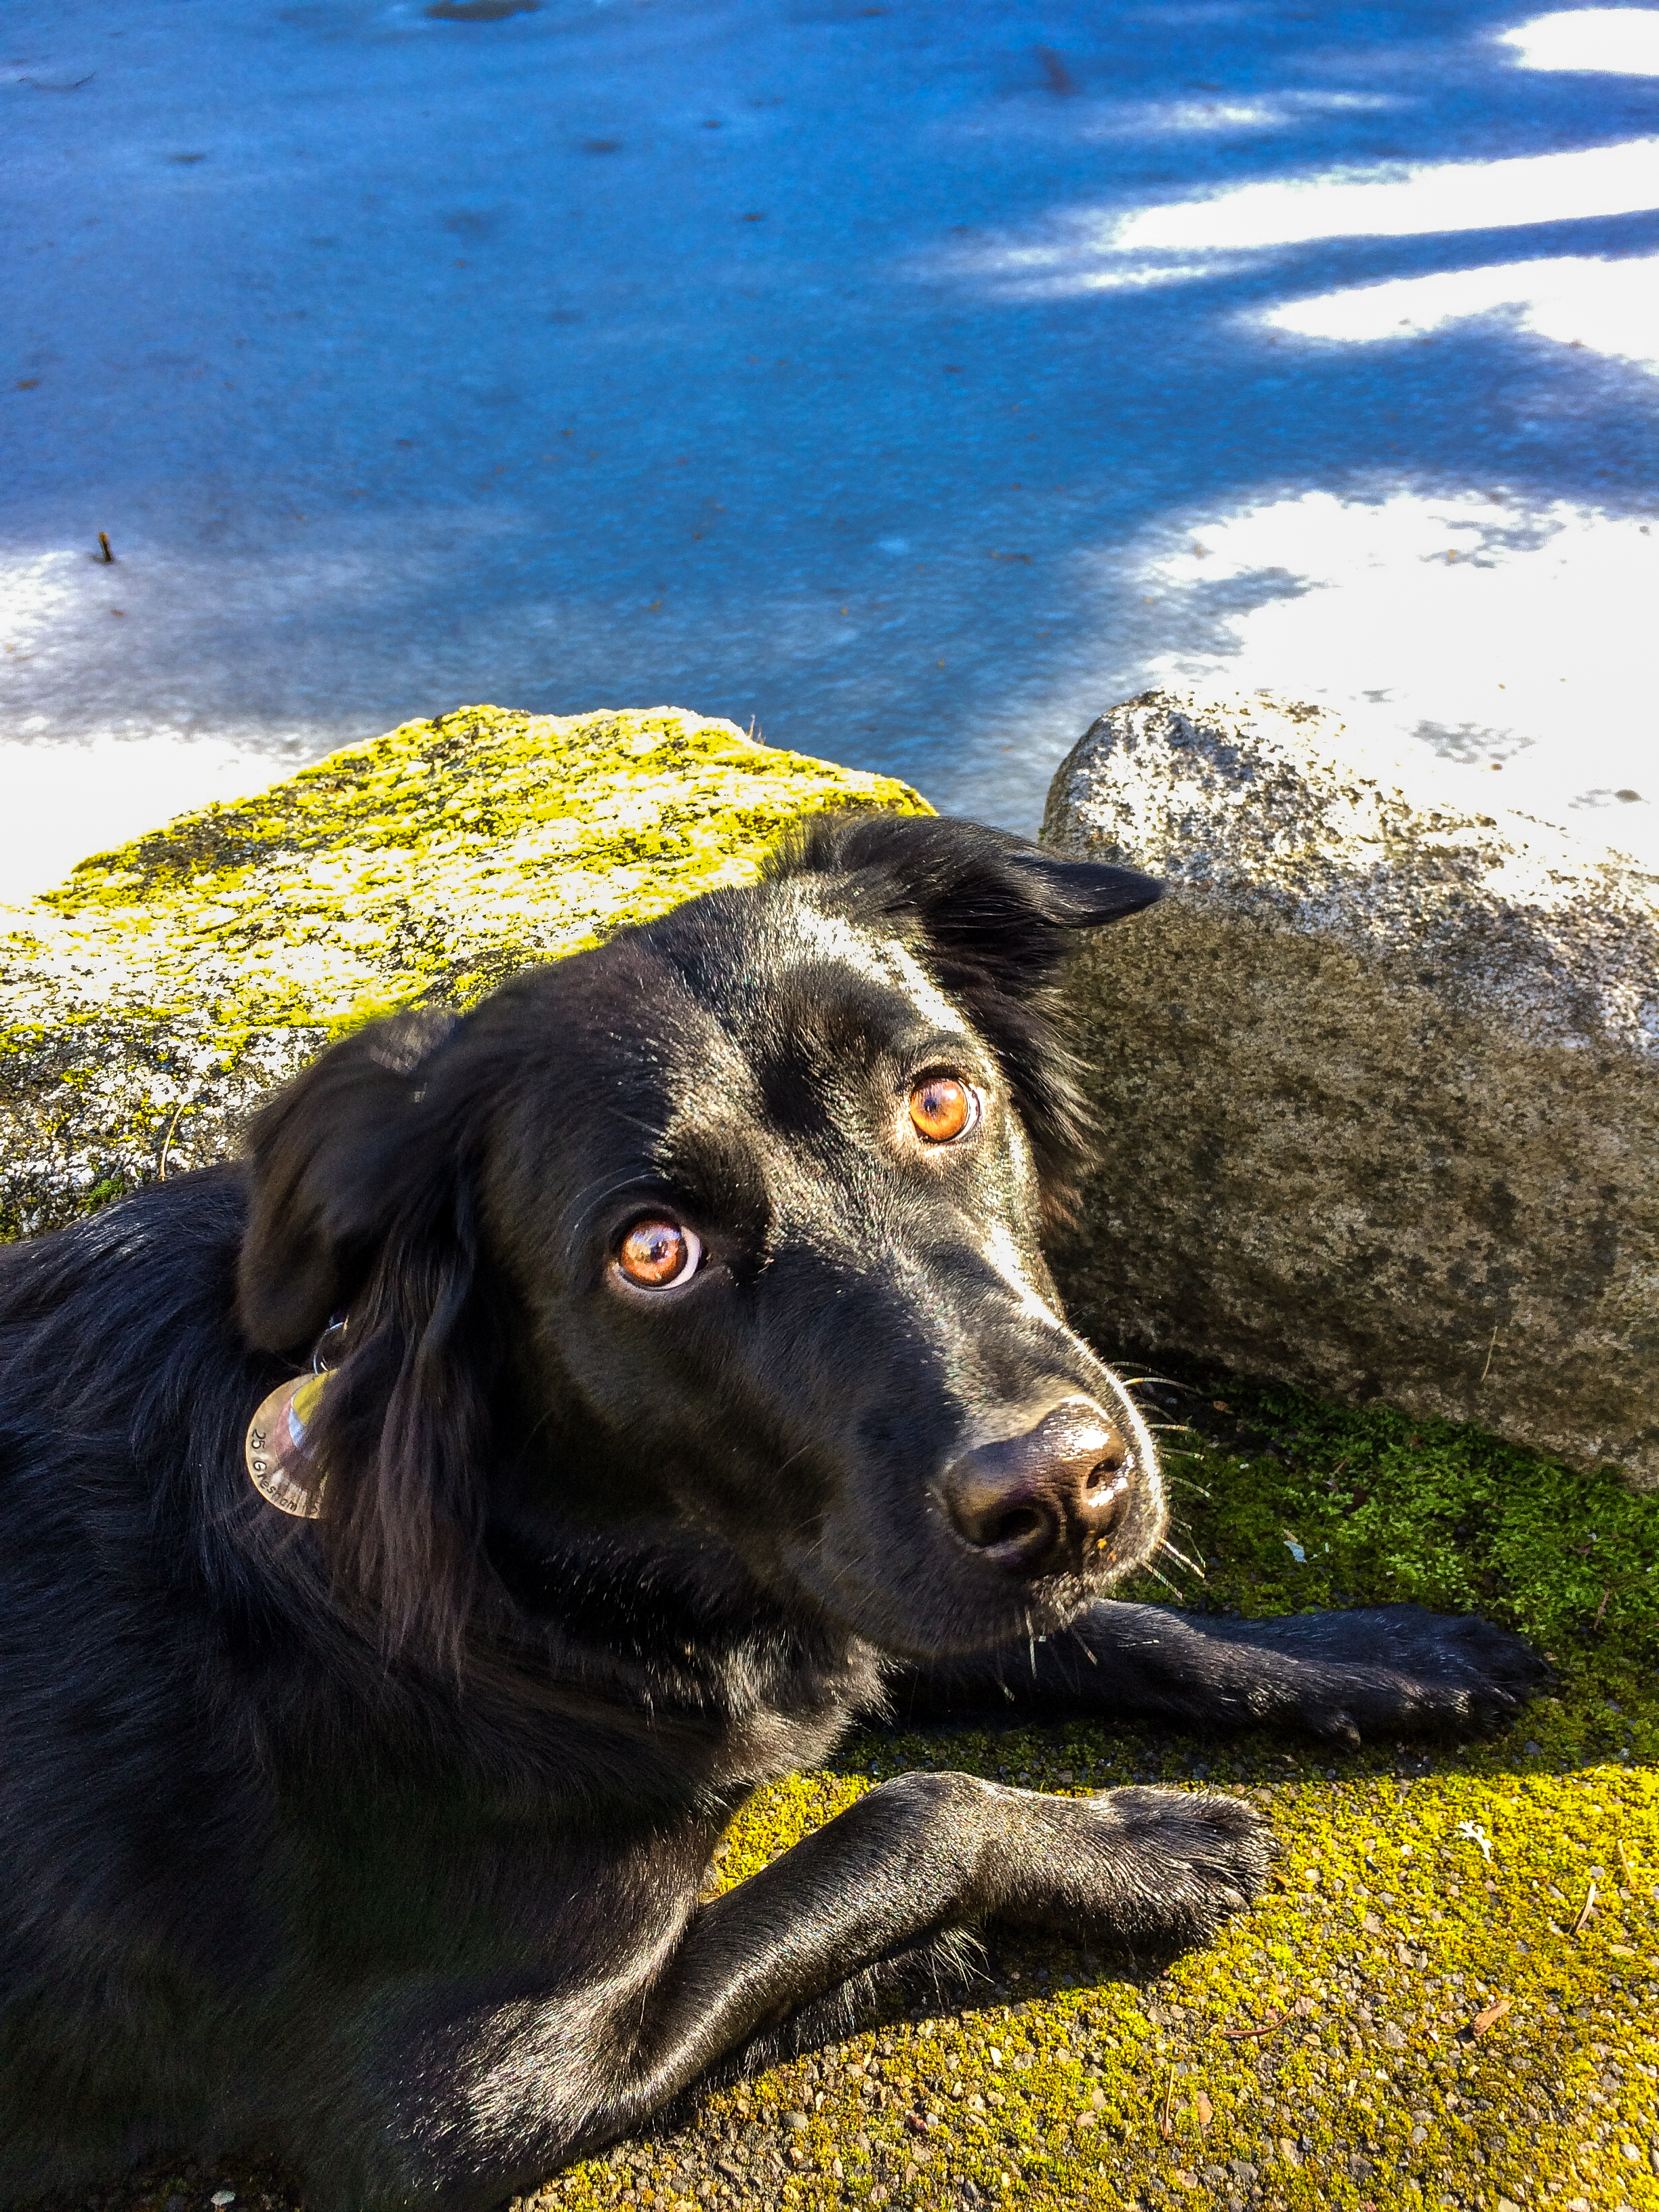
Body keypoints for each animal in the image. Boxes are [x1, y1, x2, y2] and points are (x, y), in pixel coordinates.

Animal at [0, 818, 1539, 2212]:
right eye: (653, 1252)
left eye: (941, 1101)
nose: (1060, 1483)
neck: (539, 1566)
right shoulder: (463, 2096)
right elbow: (908, 1819)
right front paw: (1139, 1852)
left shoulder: (854, 1582)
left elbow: (1096, 1630)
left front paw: (1383, 1654)